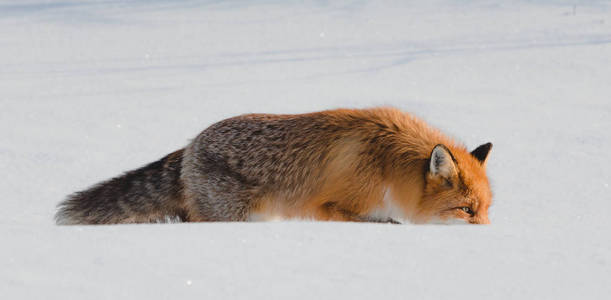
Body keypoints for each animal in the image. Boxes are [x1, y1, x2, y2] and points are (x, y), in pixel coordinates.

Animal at [56, 107, 492, 225]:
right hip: (235, 217)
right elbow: (385, 224)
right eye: (466, 210)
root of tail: (190, 145)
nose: (489, 239)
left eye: (486, 211)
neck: (387, 165)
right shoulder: (329, 208)